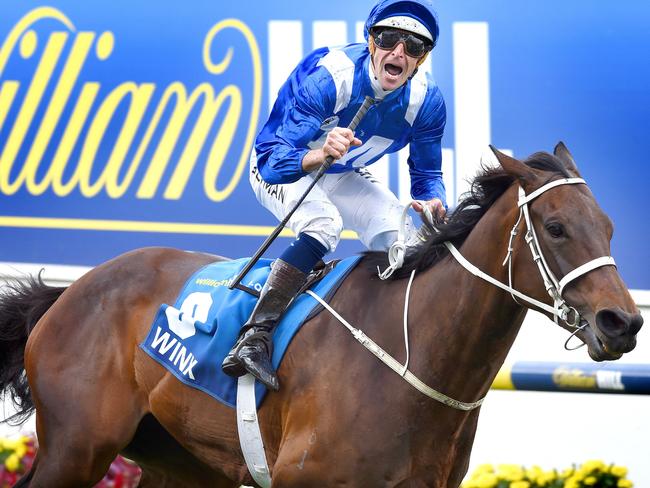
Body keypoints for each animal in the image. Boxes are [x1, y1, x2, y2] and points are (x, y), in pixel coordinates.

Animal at [0, 143, 636, 486]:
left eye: (608, 227)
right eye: (555, 228)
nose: (623, 323)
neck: (414, 359)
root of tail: (70, 291)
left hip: (179, 462)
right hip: (76, 449)